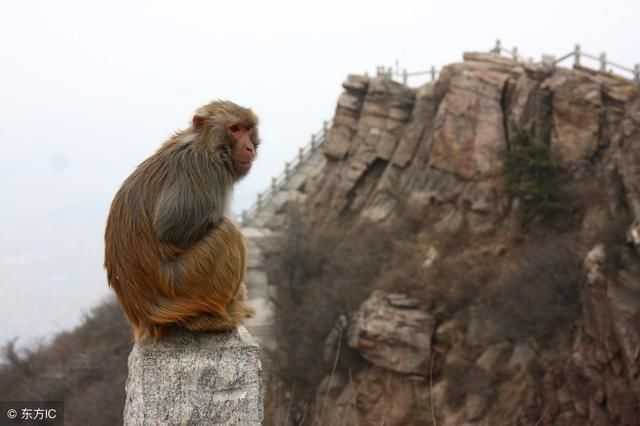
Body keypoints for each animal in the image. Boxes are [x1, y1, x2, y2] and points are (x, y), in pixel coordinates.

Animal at [105, 99, 258, 340]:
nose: (249, 147)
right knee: (228, 231)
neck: (205, 144)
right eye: (234, 129)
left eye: (248, 128)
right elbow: (171, 227)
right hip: (185, 283)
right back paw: (215, 318)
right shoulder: (203, 170)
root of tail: (144, 317)